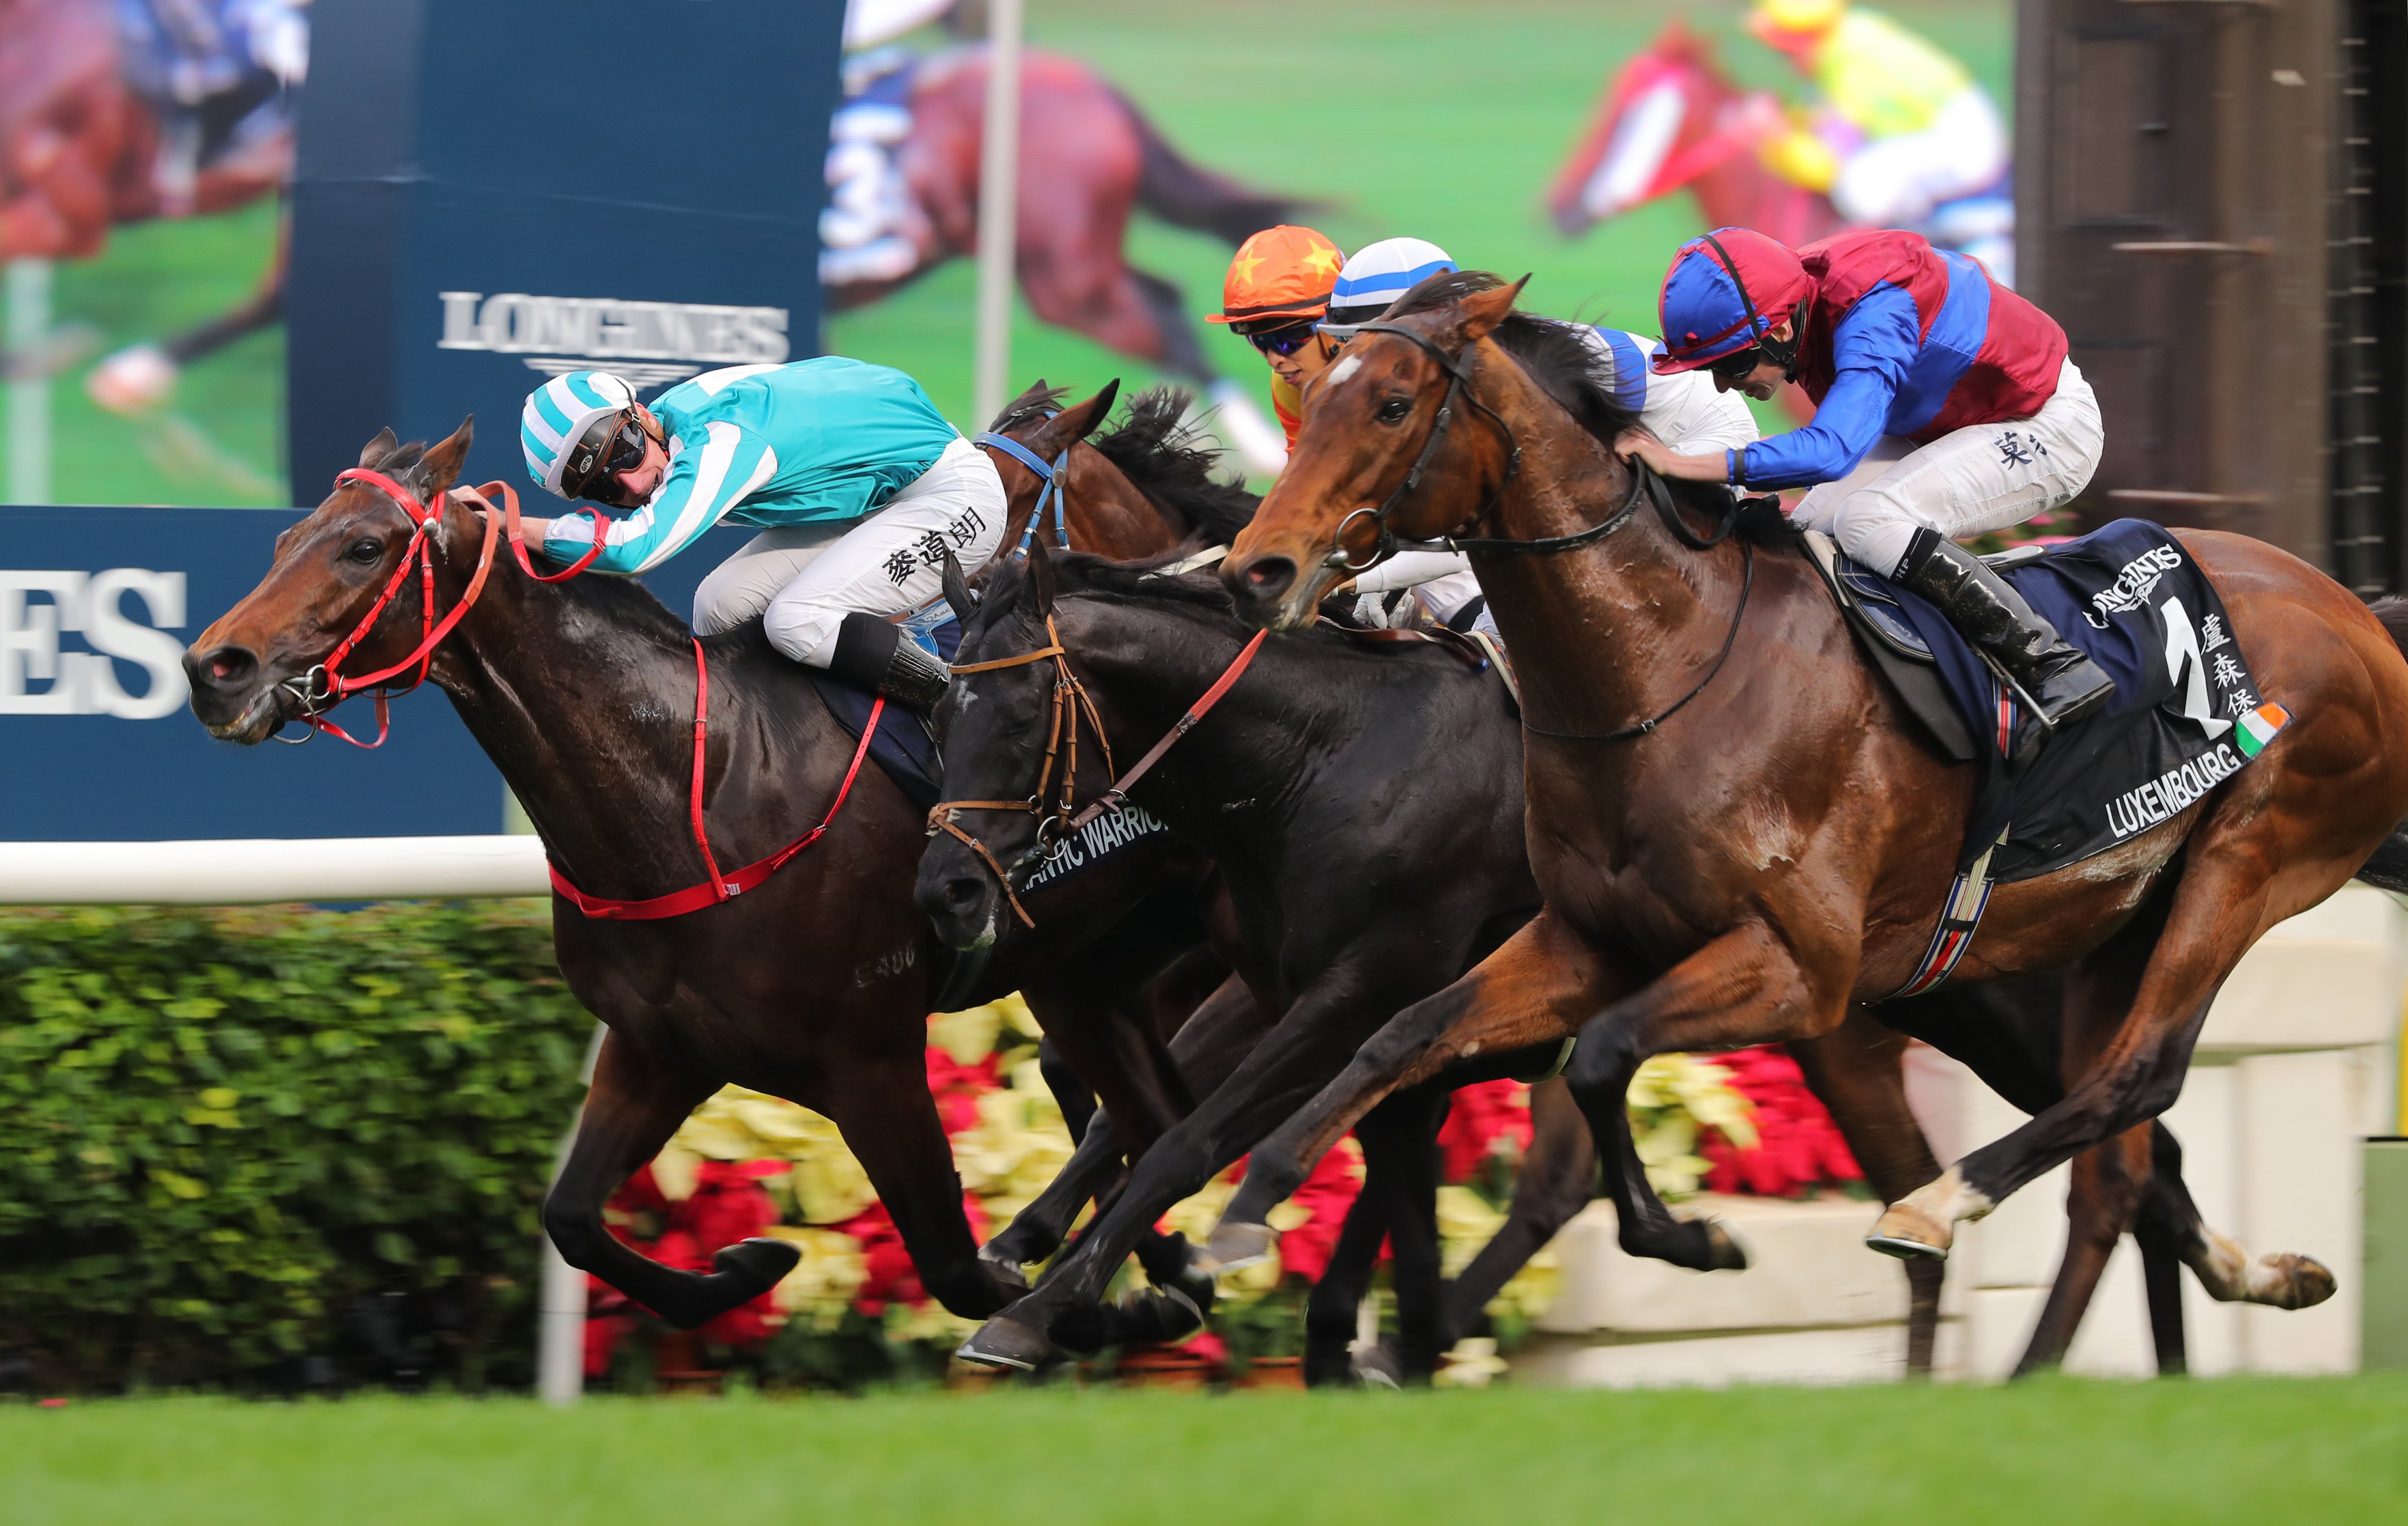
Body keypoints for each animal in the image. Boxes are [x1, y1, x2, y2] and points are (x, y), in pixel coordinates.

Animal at [1213, 271, 2408, 1280]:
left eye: (1392, 404)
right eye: (1314, 394)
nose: (1259, 569)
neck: (1667, 666)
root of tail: (2357, 613)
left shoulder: (1799, 967)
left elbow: (1600, 1056)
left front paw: (1689, 1236)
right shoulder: (1588, 937)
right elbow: (1400, 1034)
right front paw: (1244, 1209)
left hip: (2251, 858)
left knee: (2142, 1072)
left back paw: (1934, 1204)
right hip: (2119, 911)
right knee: (2130, 1127)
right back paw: (2260, 1271)